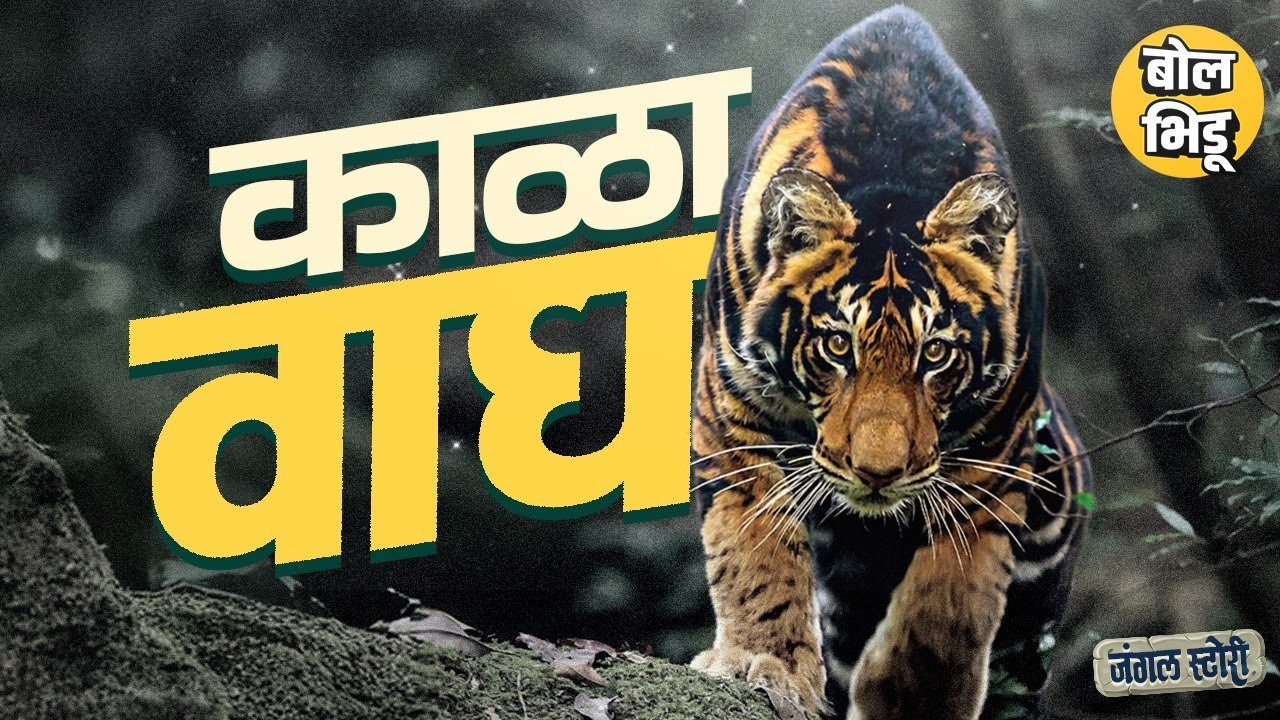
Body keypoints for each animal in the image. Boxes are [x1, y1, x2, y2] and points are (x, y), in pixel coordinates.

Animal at [689, 6, 1092, 719]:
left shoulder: (993, 451)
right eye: (837, 347)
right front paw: (765, 663)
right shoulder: (732, 407)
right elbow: (754, 549)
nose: (878, 473)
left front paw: (914, 702)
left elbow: (949, 603)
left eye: (935, 353)